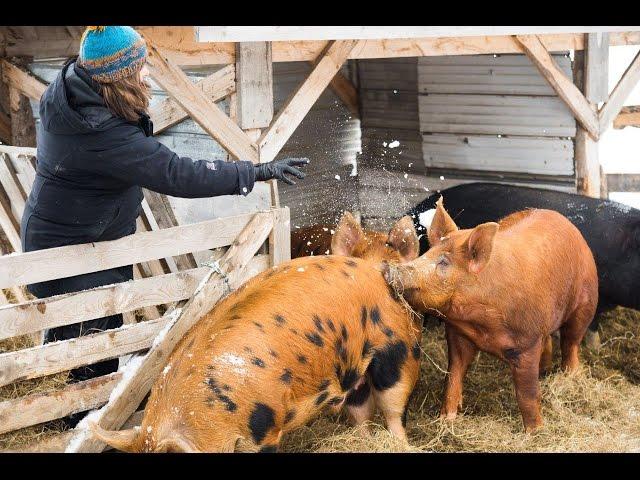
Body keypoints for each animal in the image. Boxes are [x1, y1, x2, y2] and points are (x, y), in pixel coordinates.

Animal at [87, 219, 422, 452]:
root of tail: (375, 269)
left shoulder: (265, 429)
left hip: (397, 354)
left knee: (393, 411)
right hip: (353, 372)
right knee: (360, 411)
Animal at [382, 198, 596, 432]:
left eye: (444, 262)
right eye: (425, 254)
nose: (389, 268)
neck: (482, 326)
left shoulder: (527, 341)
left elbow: (527, 393)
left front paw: (534, 431)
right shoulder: (458, 334)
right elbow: (453, 375)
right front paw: (446, 420)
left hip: (586, 303)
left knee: (571, 343)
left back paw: (570, 376)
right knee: (549, 339)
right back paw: (545, 371)